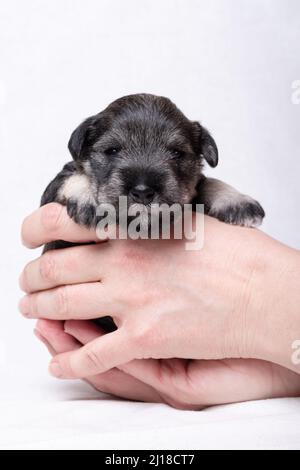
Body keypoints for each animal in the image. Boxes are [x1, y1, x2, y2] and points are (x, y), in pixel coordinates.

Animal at [40, 93, 264, 330]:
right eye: (112, 150)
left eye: (176, 153)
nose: (142, 191)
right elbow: (72, 176)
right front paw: (87, 197)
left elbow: (208, 181)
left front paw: (236, 201)